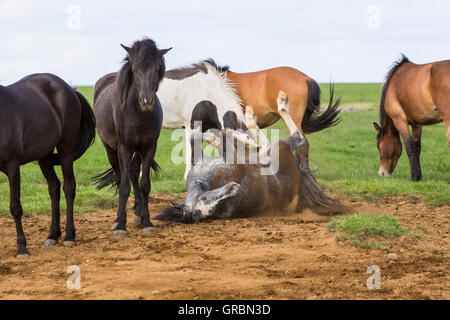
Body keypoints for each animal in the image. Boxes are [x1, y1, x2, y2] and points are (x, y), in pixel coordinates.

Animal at [0, 72, 95, 258]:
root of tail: (69, 89)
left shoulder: (12, 165)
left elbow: (15, 207)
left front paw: (22, 248)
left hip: (66, 151)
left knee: (69, 187)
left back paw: (69, 236)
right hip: (44, 155)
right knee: (54, 187)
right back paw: (52, 234)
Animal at [92, 38, 171, 238]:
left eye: (156, 69)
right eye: (135, 70)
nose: (147, 101)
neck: (138, 114)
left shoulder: (149, 147)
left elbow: (145, 185)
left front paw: (147, 222)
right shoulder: (124, 148)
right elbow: (124, 186)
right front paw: (121, 225)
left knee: (135, 173)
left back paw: (138, 213)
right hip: (111, 149)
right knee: (120, 177)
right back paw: (118, 220)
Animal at [155, 91, 348, 224]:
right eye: (205, 200)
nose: (234, 187)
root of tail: (299, 174)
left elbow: (201, 136)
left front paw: (219, 137)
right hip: (282, 146)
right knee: (295, 137)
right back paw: (274, 107)